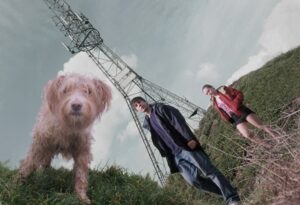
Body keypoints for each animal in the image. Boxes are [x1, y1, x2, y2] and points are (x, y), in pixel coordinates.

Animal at [19, 73, 112, 203]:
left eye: (89, 91)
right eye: (65, 90)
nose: (76, 105)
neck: (69, 125)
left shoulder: (82, 149)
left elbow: (81, 174)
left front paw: (82, 197)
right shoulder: (40, 141)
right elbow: (29, 162)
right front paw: (17, 184)